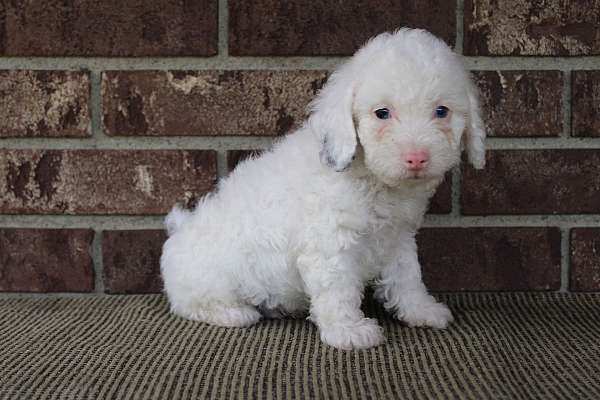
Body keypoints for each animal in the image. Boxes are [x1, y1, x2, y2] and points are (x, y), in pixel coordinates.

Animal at [161, 28, 488, 350]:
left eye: (442, 111)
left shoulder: (398, 239)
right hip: (208, 280)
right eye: (382, 113)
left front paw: (421, 310)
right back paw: (234, 313)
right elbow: (338, 289)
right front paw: (349, 331)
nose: (417, 157)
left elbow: (407, 277)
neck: (373, 180)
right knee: (191, 304)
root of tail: (179, 229)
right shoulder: (331, 242)